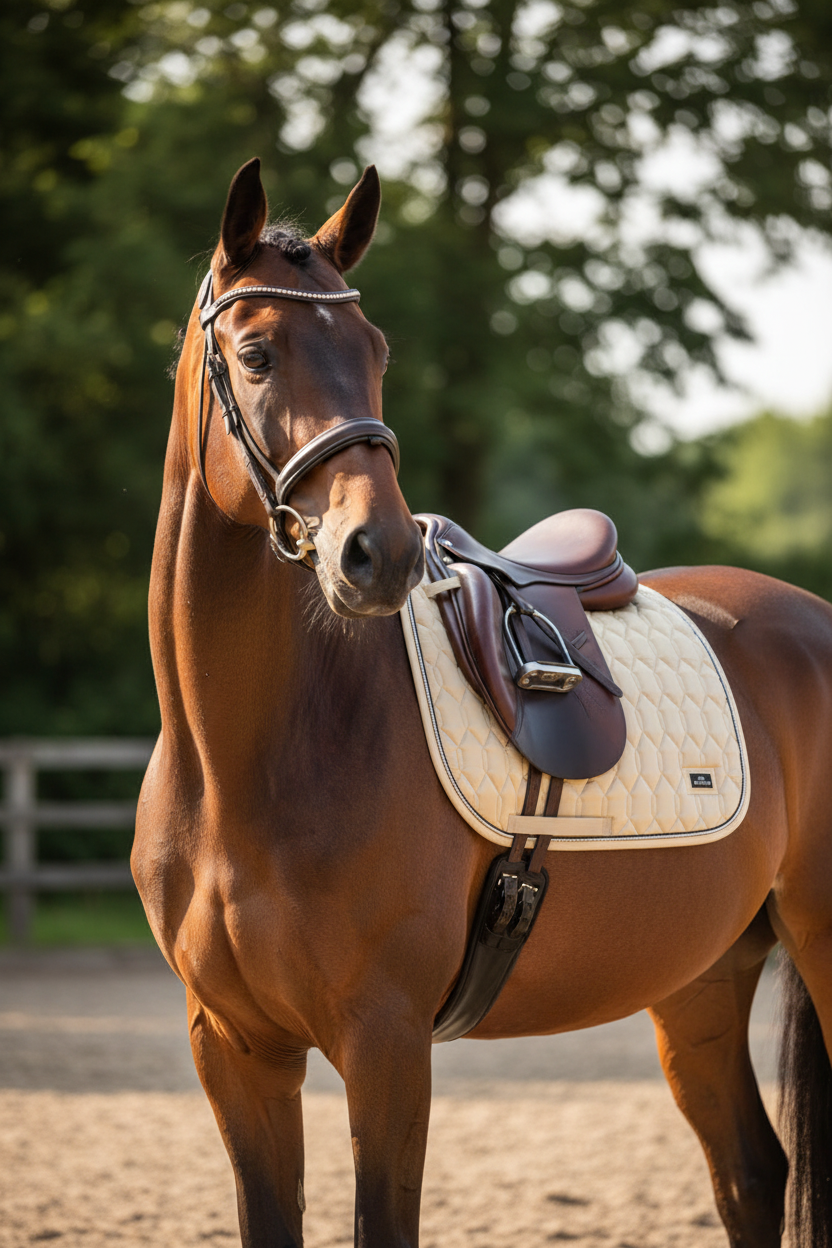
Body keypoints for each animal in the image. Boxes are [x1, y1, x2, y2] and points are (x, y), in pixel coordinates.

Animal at [133, 156, 832, 1248]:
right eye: (254, 352)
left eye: (374, 350)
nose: (375, 552)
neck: (242, 763)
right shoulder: (236, 1049)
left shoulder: (385, 1046)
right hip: (703, 977)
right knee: (751, 1175)